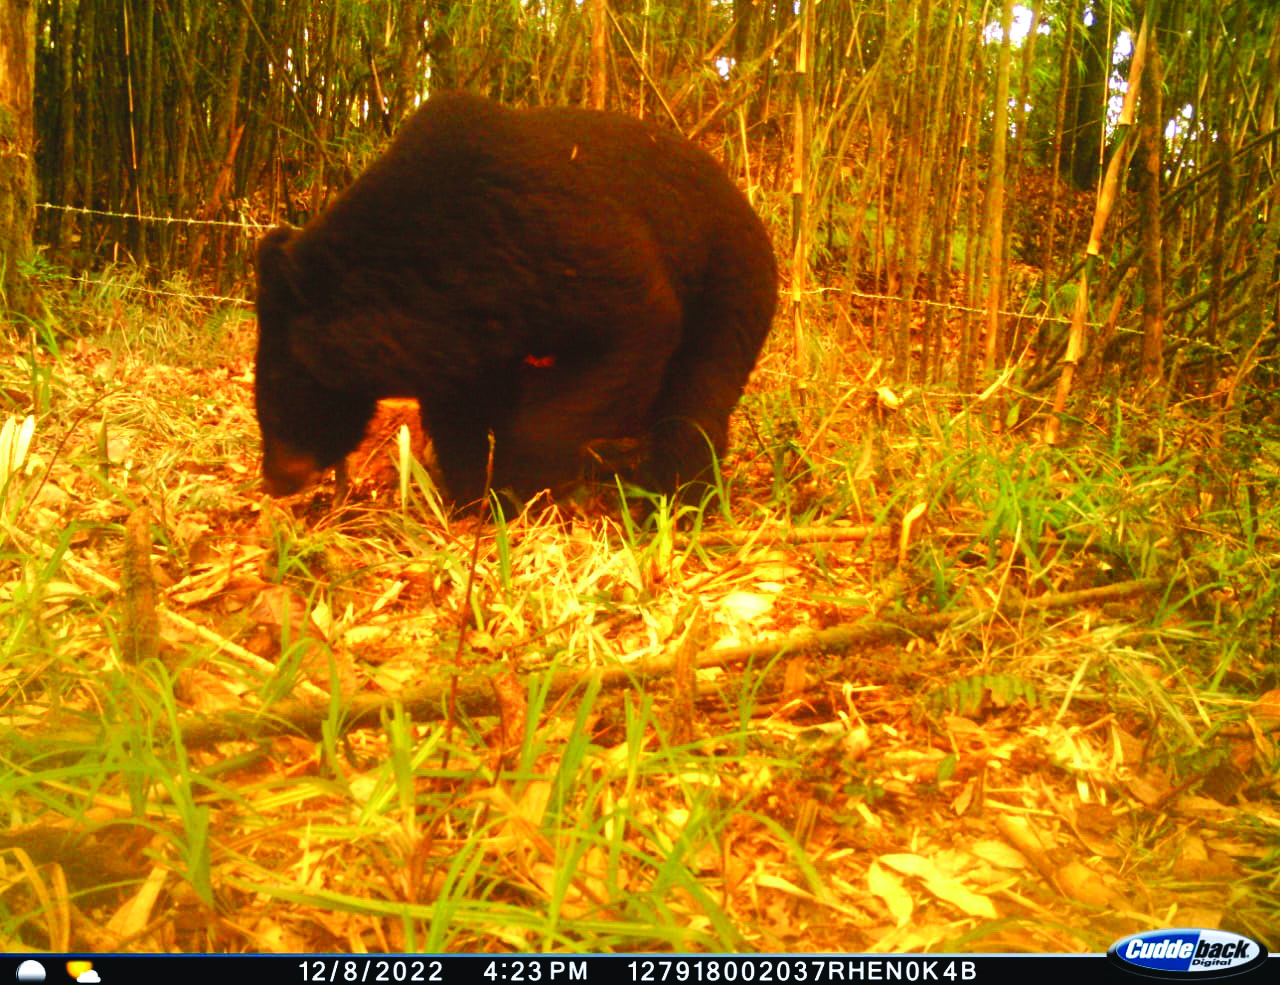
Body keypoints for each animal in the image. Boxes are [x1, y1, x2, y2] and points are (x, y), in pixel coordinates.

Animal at [253, 90, 773, 506]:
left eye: (280, 393)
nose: (274, 481)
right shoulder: (463, 325)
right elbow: (459, 410)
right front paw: (470, 496)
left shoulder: (560, 240)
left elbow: (638, 324)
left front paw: (524, 487)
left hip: (728, 280)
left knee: (700, 395)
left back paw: (672, 499)